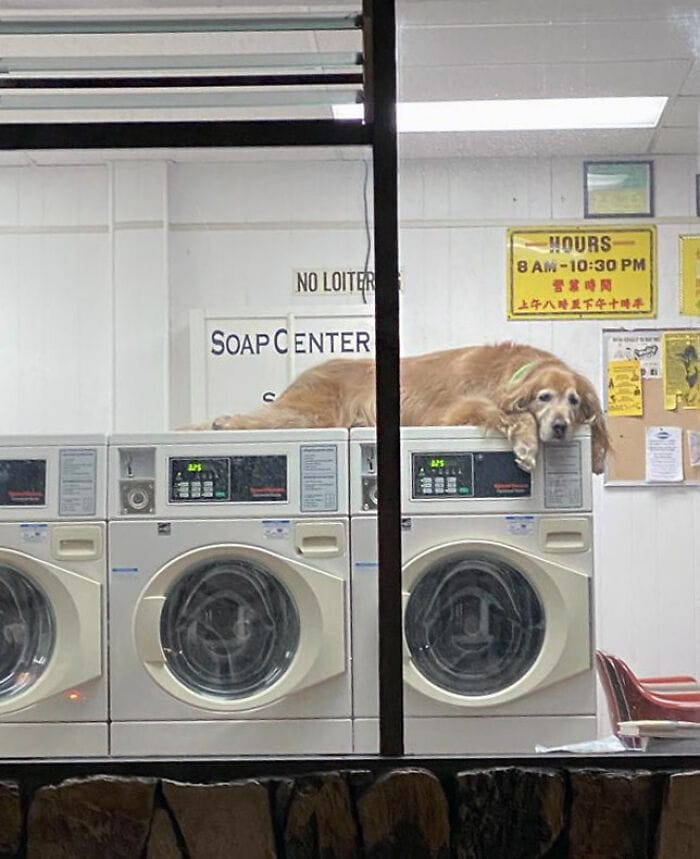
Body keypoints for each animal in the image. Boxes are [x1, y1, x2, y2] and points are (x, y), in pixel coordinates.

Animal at [201, 342, 608, 474]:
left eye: (573, 401)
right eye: (544, 397)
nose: (560, 427)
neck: (515, 370)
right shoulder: (459, 411)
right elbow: (514, 413)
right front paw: (526, 445)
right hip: (310, 413)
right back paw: (223, 422)